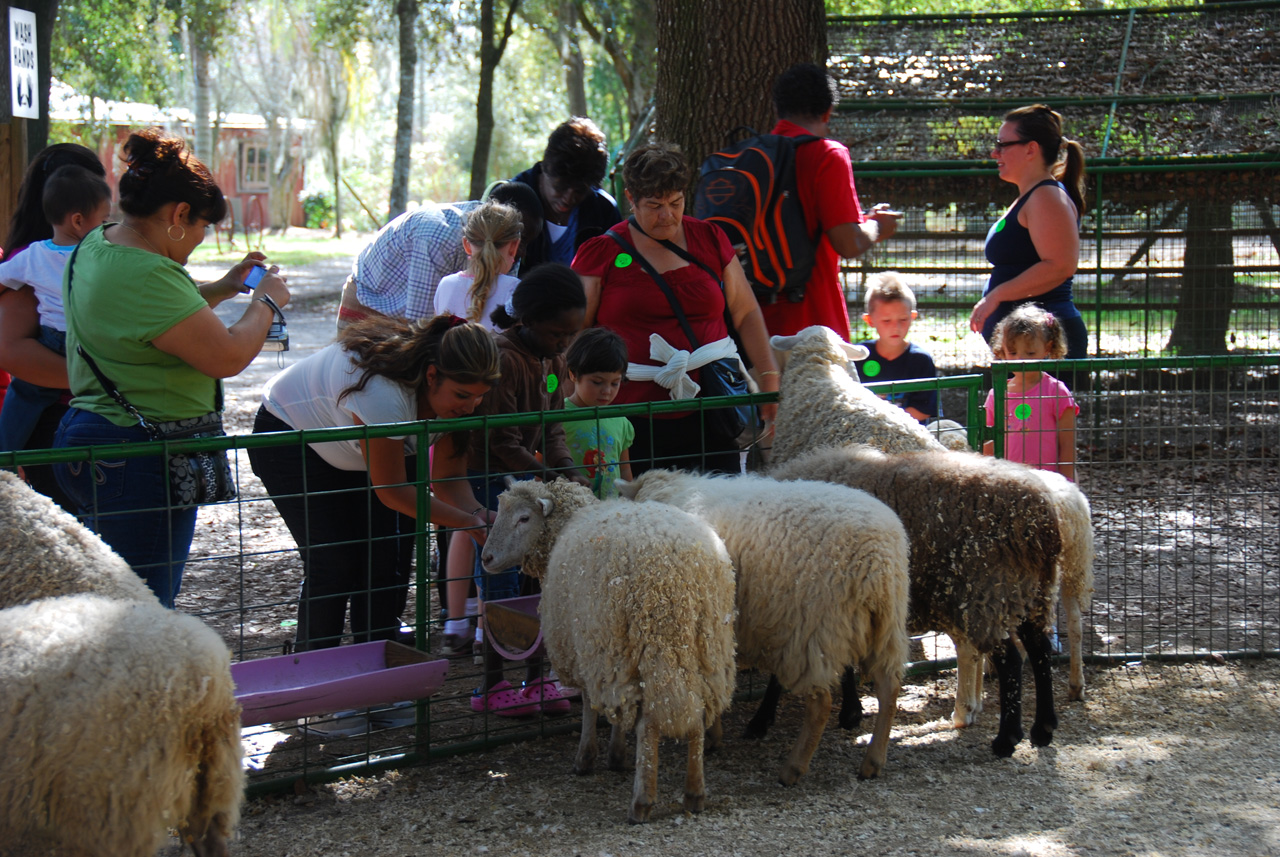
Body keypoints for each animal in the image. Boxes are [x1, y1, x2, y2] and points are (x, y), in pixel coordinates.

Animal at [481, 480, 742, 828]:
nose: (486, 557)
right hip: (703, 648)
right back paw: (695, 792)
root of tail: (678, 573)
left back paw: (642, 801)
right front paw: (615, 755)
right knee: (697, 712)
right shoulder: (615, 654)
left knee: (649, 724)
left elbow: (591, 706)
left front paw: (590, 757)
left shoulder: (595, 650)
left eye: (524, 518)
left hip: (646, 645)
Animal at [616, 470, 911, 787]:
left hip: (814, 628)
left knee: (821, 703)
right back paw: (873, 760)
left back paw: (793, 768)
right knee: (889, 688)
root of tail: (876, 557)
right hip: (886, 625)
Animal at [773, 447, 1064, 757]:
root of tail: (1042, 520)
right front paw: (851, 712)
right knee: (1040, 649)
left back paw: (1006, 739)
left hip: (990, 593)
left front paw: (847, 712)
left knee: (1011, 659)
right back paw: (1043, 729)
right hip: (1033, 593)